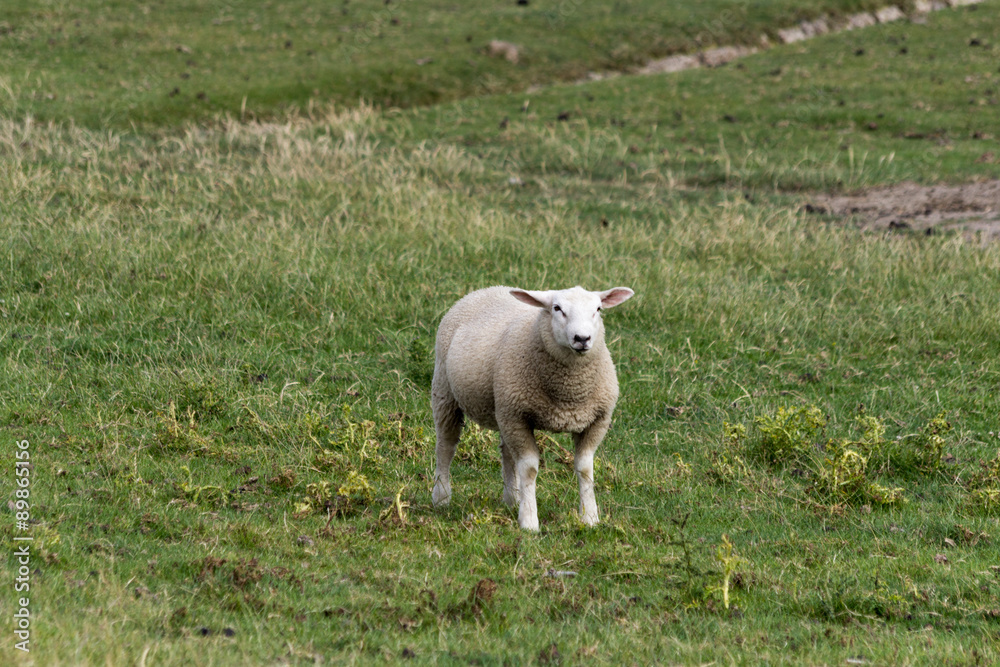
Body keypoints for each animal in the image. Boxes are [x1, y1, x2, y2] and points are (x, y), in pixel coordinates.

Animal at [431, 285, 634, 531]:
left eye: (598, 309)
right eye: (557, 308)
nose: (582, 338)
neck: (568, 394)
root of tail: (488, 288)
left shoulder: (596, 420)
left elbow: (585, 468)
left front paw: (590, 518)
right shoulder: (517, 416)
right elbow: (528, 468)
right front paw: (529, 521)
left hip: (504, 410)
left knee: (507, 453)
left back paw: (512, 499)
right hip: (446, 391)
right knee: (446, 446)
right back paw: (441, 497)